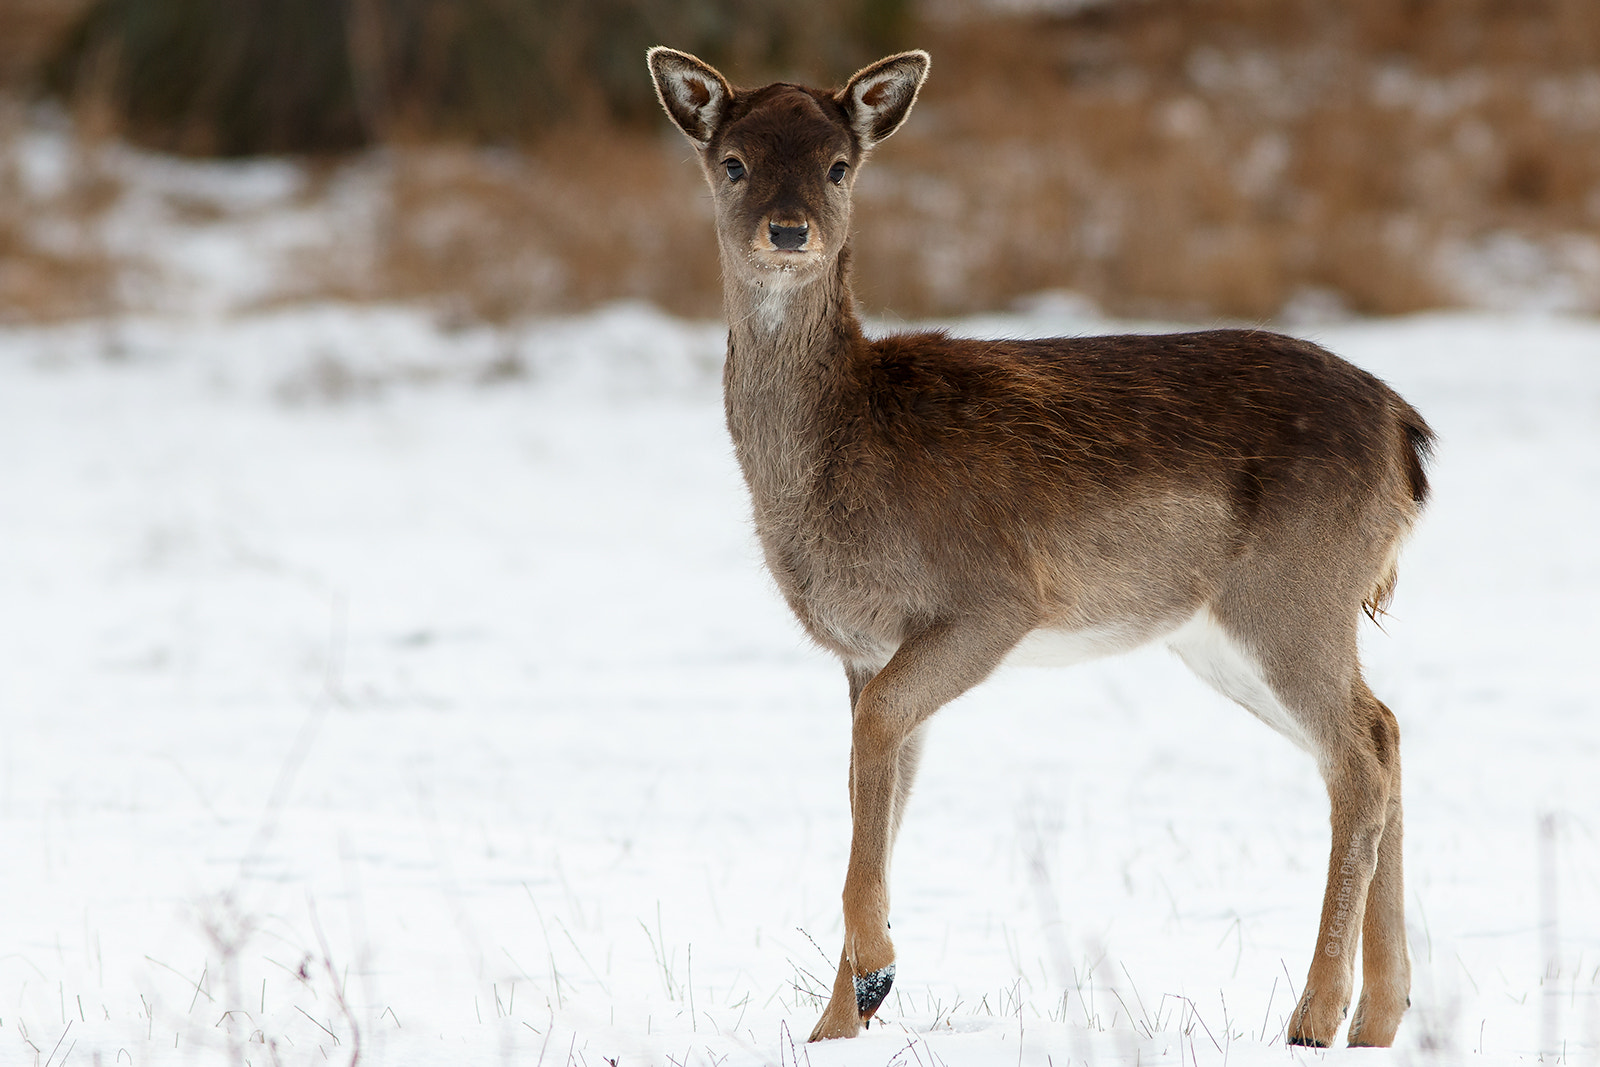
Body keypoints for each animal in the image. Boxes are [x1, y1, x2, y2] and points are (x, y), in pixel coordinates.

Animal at [649, 45, 1440, 1049]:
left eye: (837, 166)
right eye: (734, 162)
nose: (789, 233)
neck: (843, 452)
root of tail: (1408, 437)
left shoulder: (992, 598)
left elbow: (875, 748)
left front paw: (873, 973)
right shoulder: (864, 649)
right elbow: (878, 784)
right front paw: (842, 1018)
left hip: (1292, 589)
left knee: (1360, 756)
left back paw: (1315, 1013)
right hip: (1230, 628)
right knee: (1385, 729)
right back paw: (1381, 1014)